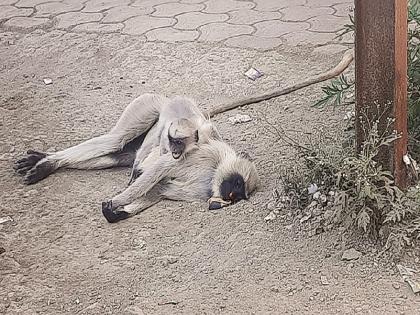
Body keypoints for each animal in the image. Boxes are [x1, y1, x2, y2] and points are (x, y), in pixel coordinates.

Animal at [13, 92, 260, 223]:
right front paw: (115, 202)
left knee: (114, 154)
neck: (214, 173)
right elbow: (159, 170)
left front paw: (116, 213)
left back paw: (44, 161)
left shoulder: (202, 191)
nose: (230, 197)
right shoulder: (205, 157)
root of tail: (164, 98)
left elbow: (160, 189)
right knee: (116, 140)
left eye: (237, 197)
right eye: (237, 184)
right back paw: (47, 162)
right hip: (145, 107)